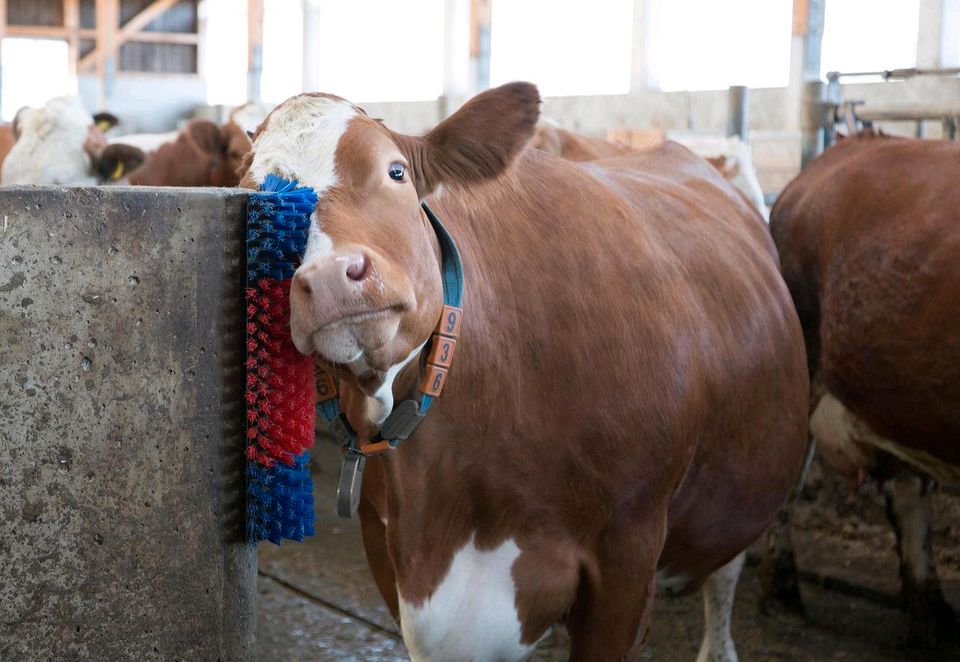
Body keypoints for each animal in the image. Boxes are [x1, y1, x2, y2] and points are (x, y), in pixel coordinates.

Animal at [244, 84, 808, 662]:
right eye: (258, 212)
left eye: (395, 171)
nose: (331, 279)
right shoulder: (388, 550)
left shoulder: (628, 555)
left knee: (726, 570)